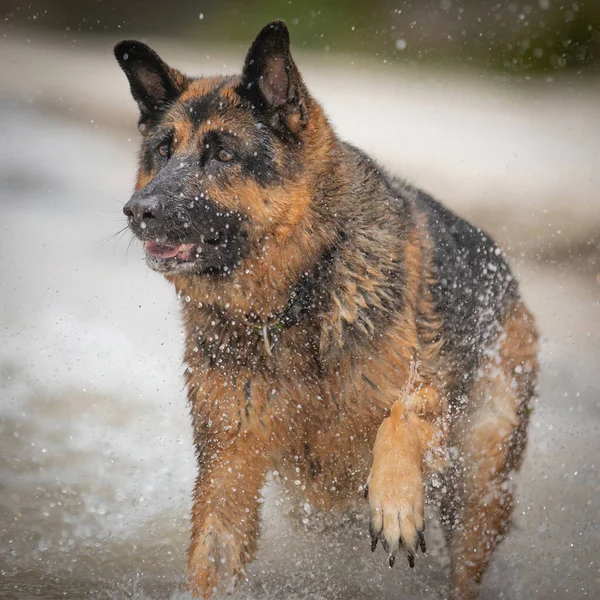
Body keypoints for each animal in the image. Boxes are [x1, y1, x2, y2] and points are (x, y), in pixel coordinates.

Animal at [115, 21, 536, 596]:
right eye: (163, 151)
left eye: (223, 155)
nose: (138, 211)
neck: (295, 299)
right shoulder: (228, 468)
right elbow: (212, 555)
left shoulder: (431, 398)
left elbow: (402, 416)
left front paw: (396, 503)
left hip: (479, 484)